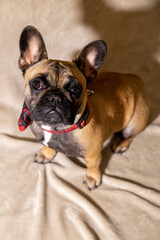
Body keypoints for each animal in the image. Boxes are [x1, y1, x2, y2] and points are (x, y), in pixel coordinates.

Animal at [18, 25, 149, 189]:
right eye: (37, 84)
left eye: (75, 89)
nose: (55, 97)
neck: (56, 128)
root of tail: (135, 79)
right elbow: (49, 146)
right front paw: (46, 154)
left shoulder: (94, 154)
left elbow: (93, 166)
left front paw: (92, 178)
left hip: (133, 123)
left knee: (130, 135)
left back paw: (121, 144)